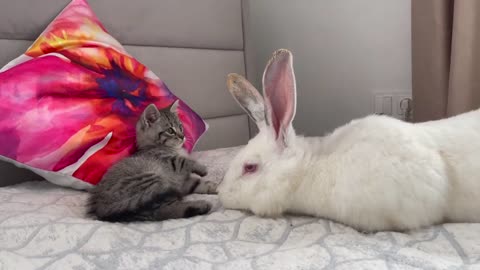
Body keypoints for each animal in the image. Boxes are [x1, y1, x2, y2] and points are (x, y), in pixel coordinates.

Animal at [87, 100, 217, 221]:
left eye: (181, 127)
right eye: (170, 130)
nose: (183, 136)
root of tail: (100, 208)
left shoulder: (183, 182)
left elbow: (197, 183)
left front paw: (214, 186)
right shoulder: (169, 161)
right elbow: (186, 161)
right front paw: (202, 169)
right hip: (151, 180)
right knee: (165, 211)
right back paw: (201, 205)